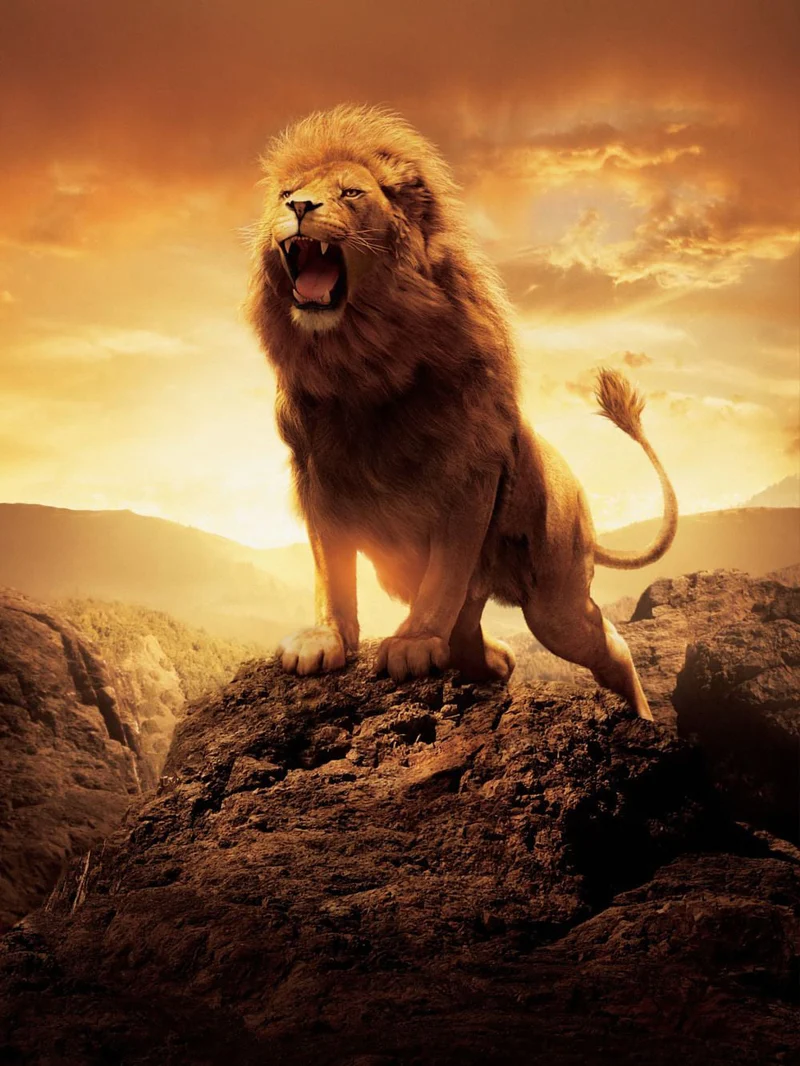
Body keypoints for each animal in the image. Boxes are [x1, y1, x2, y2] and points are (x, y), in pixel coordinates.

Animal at [245, 104, 678, 721]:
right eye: (286, 193)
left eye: (351, 193)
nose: (300, 208)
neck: (361, 363)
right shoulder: (318, 476)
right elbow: (332, 570)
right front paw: (325, 639)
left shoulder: (468, 477)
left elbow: (444, 575)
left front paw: (412, 643)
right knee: (476, 632)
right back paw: (493, 661)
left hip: (557, 600)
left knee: (607, 643)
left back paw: (641, 718)